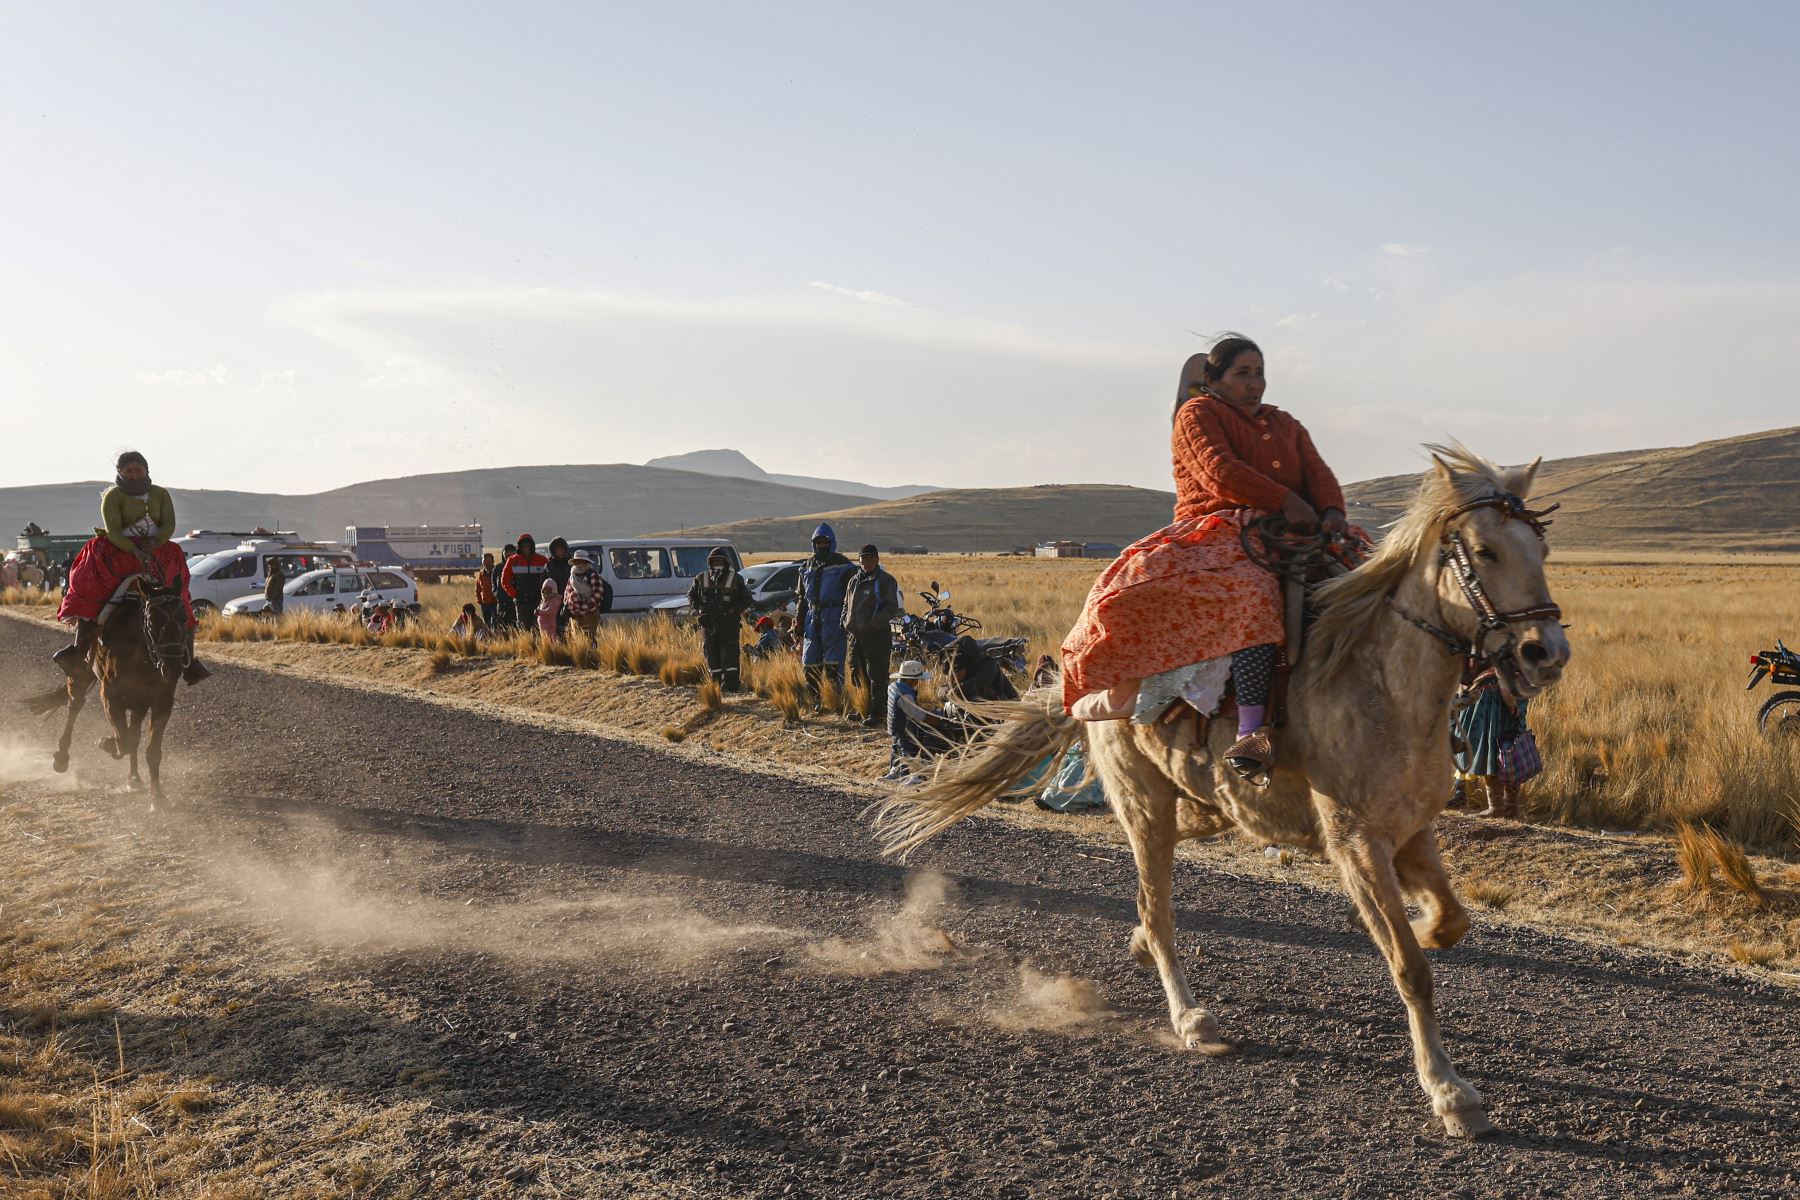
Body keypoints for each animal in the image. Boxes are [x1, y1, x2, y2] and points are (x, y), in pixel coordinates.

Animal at [24, 579, 191, 802]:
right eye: (152, 621)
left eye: (183, 618)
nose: (174, 667)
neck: (139, 654)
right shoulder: (111, 697)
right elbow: (125, 740)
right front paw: (107, 743)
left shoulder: (161, 701)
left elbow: (149, 748)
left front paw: (156, 797)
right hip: (80, 675)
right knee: (75, 706)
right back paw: (62, 756)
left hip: (139, 703)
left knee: (134, 731)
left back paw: (134, 777)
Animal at [878, 446, 1569, 1144]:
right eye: (1483, 551)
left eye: (1541, 547)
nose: (1546, 653)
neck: (1384, 686)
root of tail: (1083, 686)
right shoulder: (1357, 841)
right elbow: (1410, 968)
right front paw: (1450, 1092)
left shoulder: (1411, 832)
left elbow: (1451, 923)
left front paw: (1409, 929)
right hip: (1144, 802)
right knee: (1158, 909)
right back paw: (1189, 1018)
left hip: (1207, 806)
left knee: (1162, 881)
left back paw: (1140, 945)